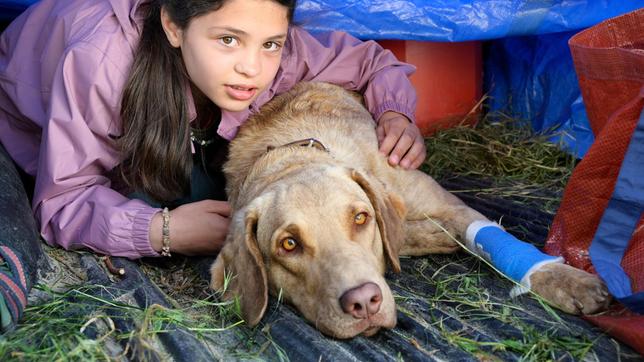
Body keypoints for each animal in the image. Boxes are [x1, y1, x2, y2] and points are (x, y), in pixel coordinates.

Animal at [210, 81, 608, 336]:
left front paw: (567, 279)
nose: (364, 302)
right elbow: (404, 236)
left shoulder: (449, 203)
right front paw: (428, 236)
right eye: (288, 245)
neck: (290, 154)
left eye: (360, 218)